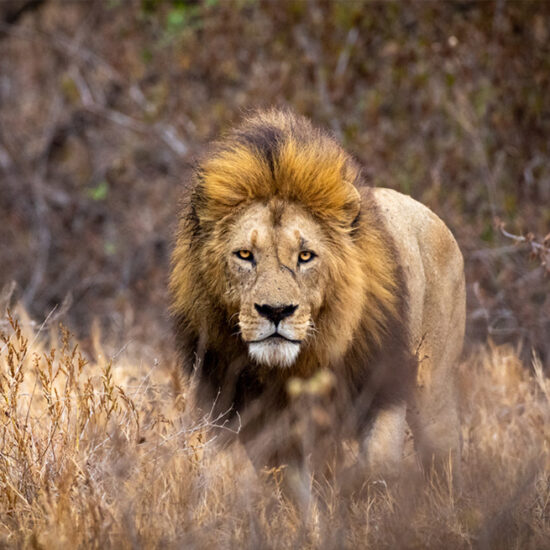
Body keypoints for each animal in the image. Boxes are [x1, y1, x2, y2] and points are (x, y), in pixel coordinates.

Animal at [170, 109, 468, 492]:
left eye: (305, 256)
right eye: (245, 255)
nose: (276, 311)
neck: (292, 367)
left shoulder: (384, 390)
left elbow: (378, 466)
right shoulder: (243, 416)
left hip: (434, 395)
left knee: (445, 460)